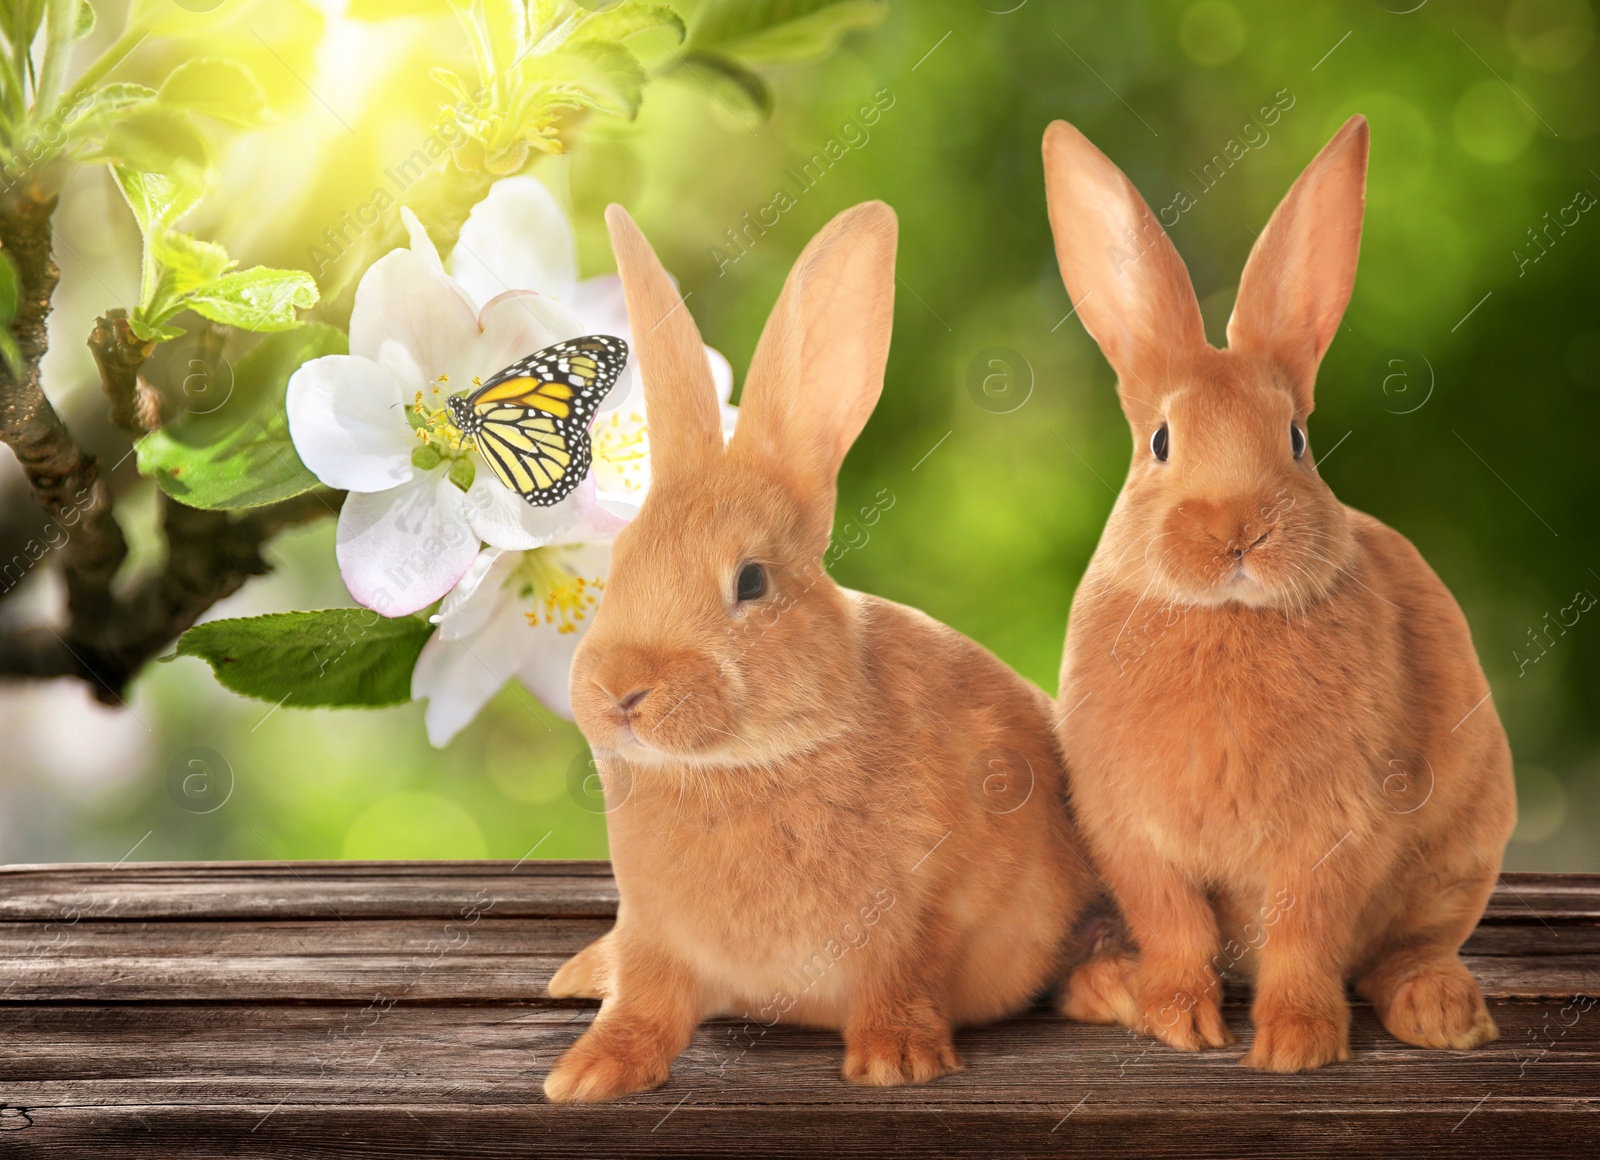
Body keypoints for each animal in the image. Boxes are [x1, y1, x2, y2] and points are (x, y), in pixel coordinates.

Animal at [544, 201, 1120, 1107]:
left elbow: (900, 976)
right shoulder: (654, 934)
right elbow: (643, 1002)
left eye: (751, 581)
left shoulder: (916, 912)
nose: (622, 690)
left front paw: (897, 1061)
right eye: (620, 561)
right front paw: (587, 1075)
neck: (753, 758)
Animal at [1043, 112, 1516, 1075]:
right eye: (1160, 442)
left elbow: (1306, 937)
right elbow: (1176, 927)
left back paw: (1443, 1013)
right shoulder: (1132, 838)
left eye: (1296, 439)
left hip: (1461, 853)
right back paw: (1111, 990)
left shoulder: (1335, 836)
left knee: (1408, 949)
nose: (1240, 532)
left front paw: (1296, 1046)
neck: (1228, 616)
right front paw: (1179, 1023)